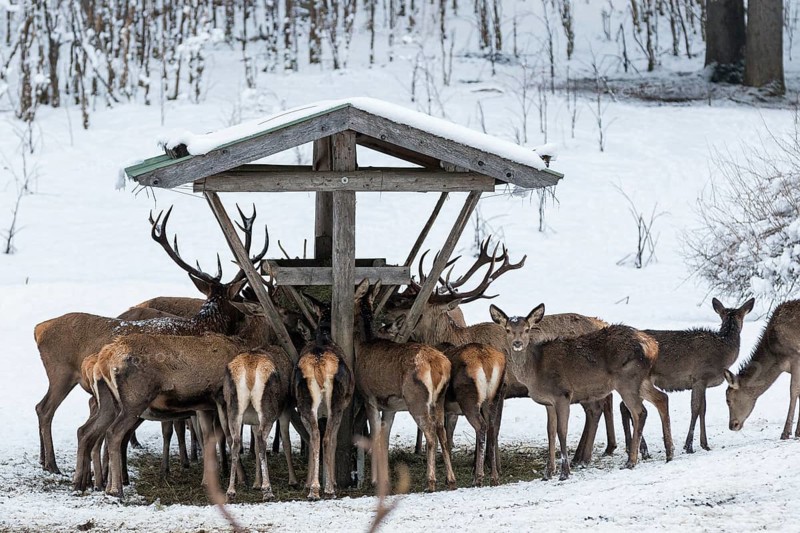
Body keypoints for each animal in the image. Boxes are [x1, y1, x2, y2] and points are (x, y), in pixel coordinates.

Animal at [37, 205, 267, 479]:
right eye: (236, 300)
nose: (246, 316)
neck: (201, 326)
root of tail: (39, 329)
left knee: (45, 408)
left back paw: (51, 463)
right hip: (60, 373)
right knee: (46, 410)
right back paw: (54, 464)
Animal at [354, 279, 456, 493]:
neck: (362, 347)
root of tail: (439, 365)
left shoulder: (369, 397)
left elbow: (375, 435)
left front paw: (375, 480)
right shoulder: (390, 406)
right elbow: (385, 438)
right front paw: (385, 479)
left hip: (416, 399)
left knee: (431, 433)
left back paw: (430, 481)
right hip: (440, 399)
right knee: (442, 433)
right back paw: (450, 479)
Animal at [489, 304, 673, 480]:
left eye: (527, 329)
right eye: (508, 329)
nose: (517, 343)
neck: (535, 369)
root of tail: (653, 346)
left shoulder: (562, 394)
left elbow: (562, 431)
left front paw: (564, 473)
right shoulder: (548, 402)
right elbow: (550, 432)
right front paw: (548, 473)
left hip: (627, 379)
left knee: (640, 412)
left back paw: (631, 461)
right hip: (642, 380)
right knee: (662, 398)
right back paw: (669, 453)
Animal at [618, 297, 755, 456]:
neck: (723, 352)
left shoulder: (703, 382)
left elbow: (703, 409)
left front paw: (704, 444)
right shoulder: (700, 376)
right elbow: (695, 408)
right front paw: (689, 445)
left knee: (624, 406)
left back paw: (632, 447)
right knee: (628, 407)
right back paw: (642, 449)